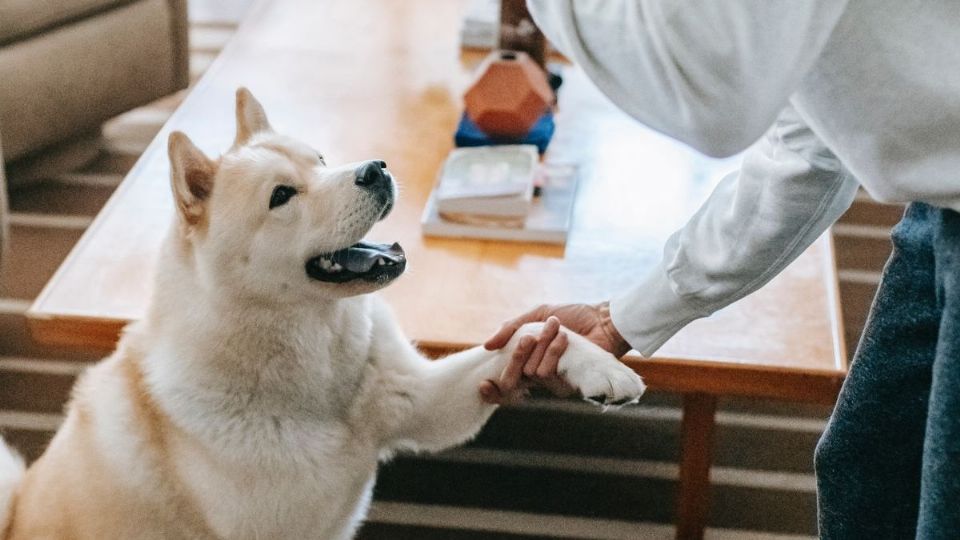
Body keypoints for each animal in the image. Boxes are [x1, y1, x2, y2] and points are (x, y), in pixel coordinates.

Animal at [1, 89, 644, 540]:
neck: (322, 373)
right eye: (282, 196)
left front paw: (596, 364)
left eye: (321, 159)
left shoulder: (423, 402)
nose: (375, 169)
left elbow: (525, 333)